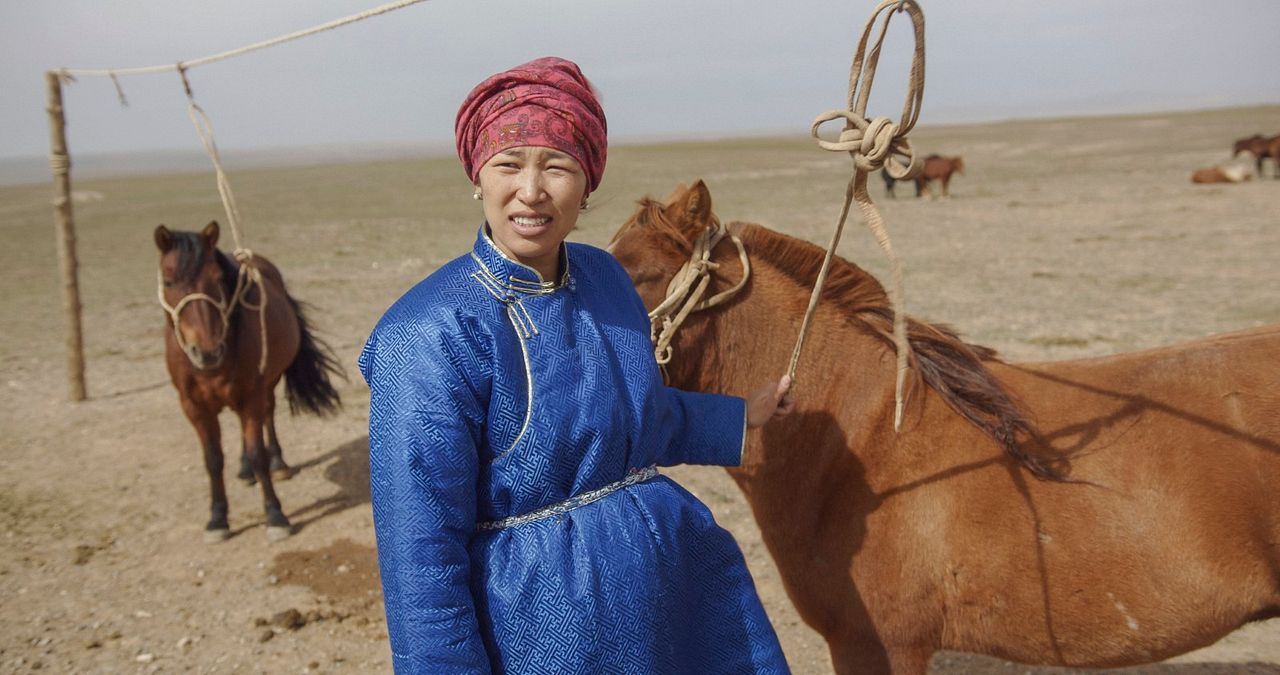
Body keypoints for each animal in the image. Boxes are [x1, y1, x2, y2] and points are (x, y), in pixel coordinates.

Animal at [153, 221, 345, 543]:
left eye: (217, 279)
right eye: (168, 281)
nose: (207, 351)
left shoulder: (252, 395)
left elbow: (258, 454)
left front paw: (275, 515)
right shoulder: (193, 406)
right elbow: (213, 460)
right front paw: (218, 519)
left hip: (267, 384)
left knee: (268, 415)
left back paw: (278, 463)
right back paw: (244, 472)